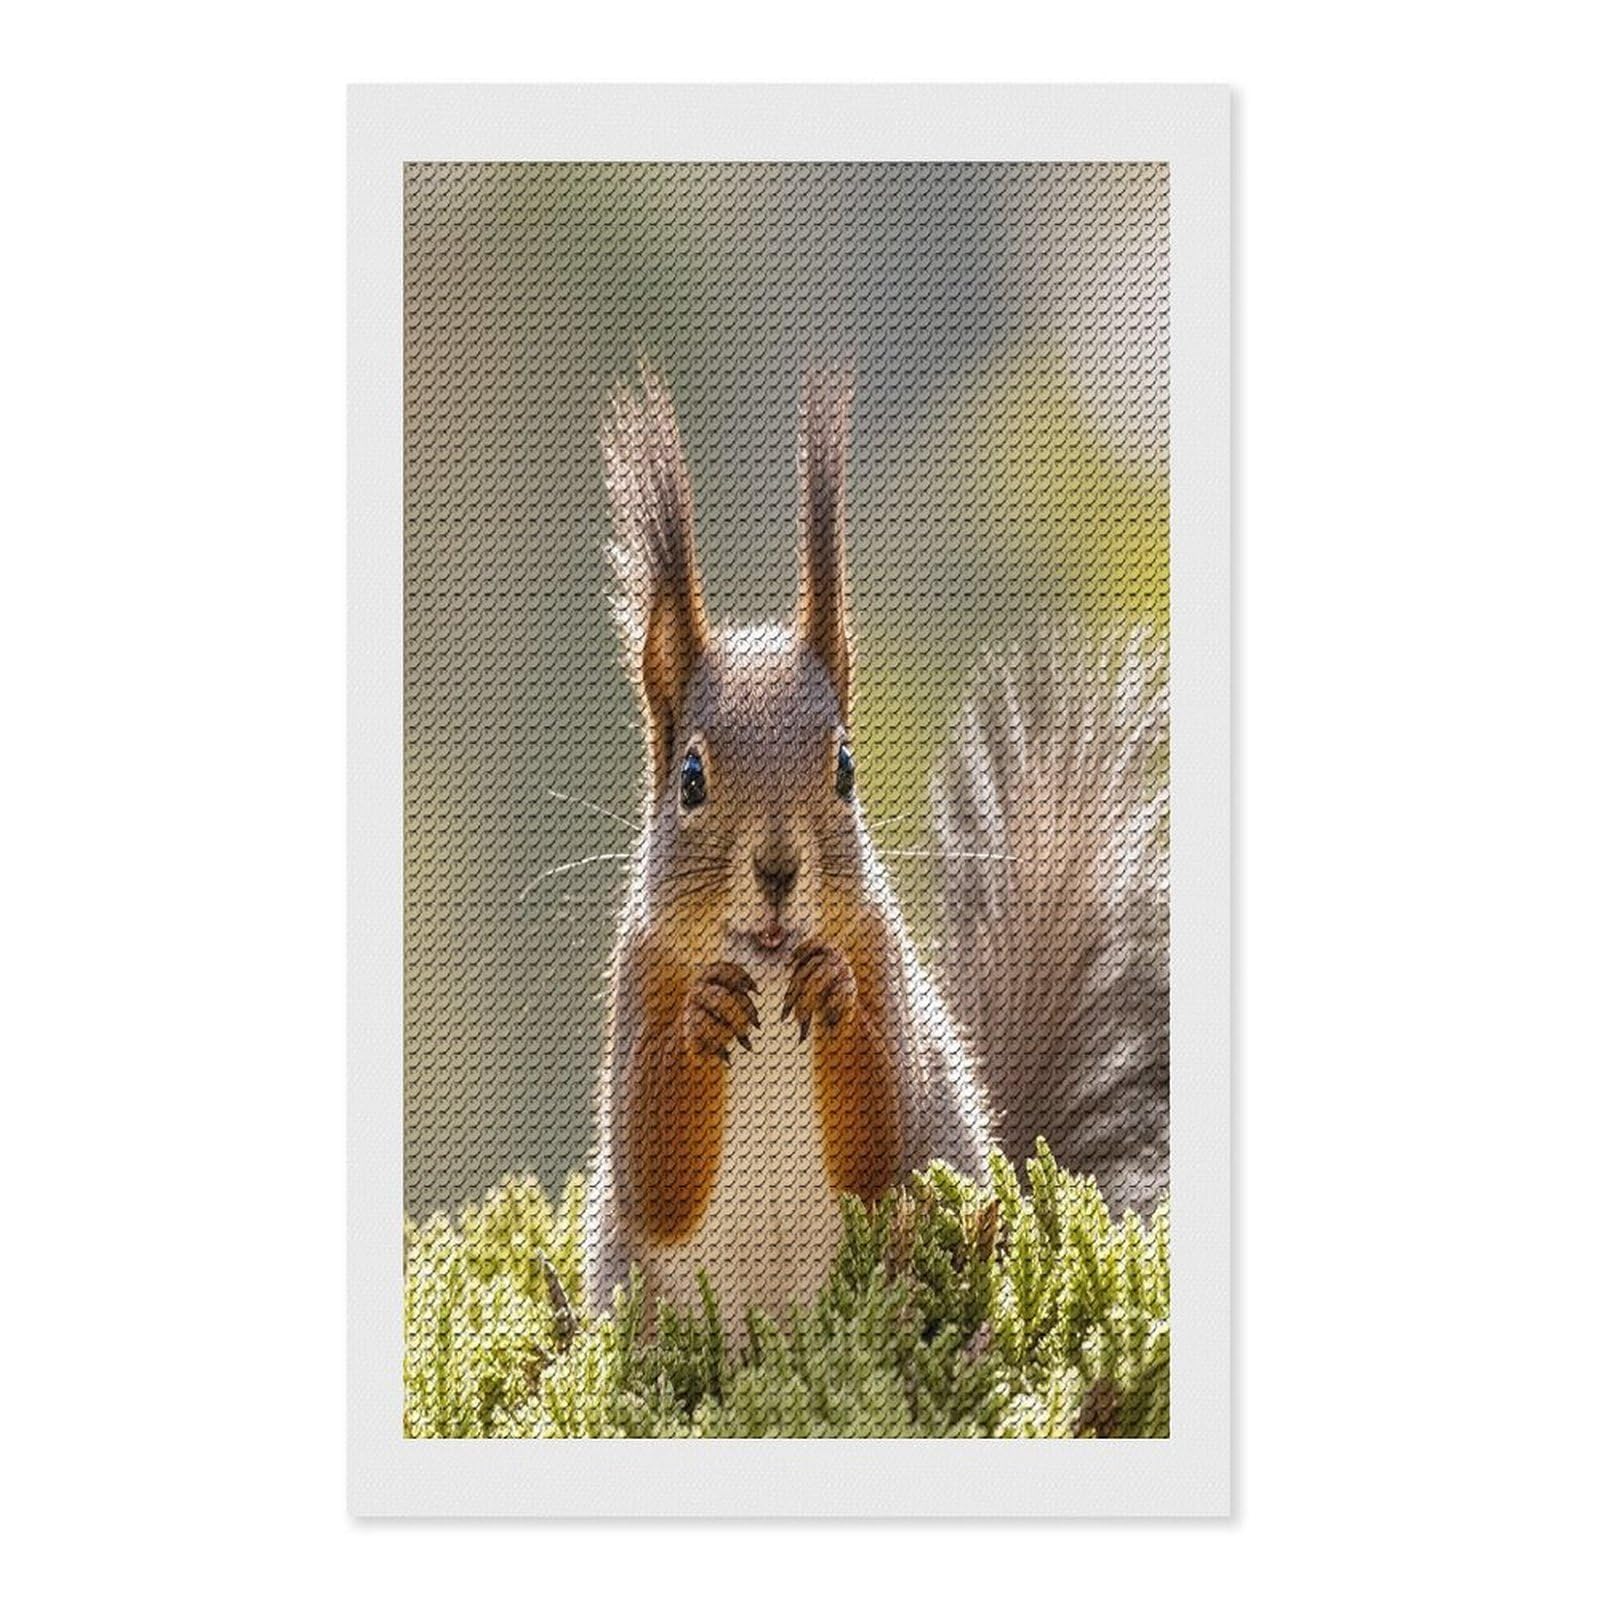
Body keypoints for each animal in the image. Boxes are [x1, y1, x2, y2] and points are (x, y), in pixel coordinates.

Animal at [583, 367, 1169, 1326]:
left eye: (847, 769)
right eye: (691, 779)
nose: (779, 869)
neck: (768, 966)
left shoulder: (887, 964)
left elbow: (885, 1132)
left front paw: (834, 990)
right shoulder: (637, 984)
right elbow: (650, 1169)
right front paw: (706, 1013)